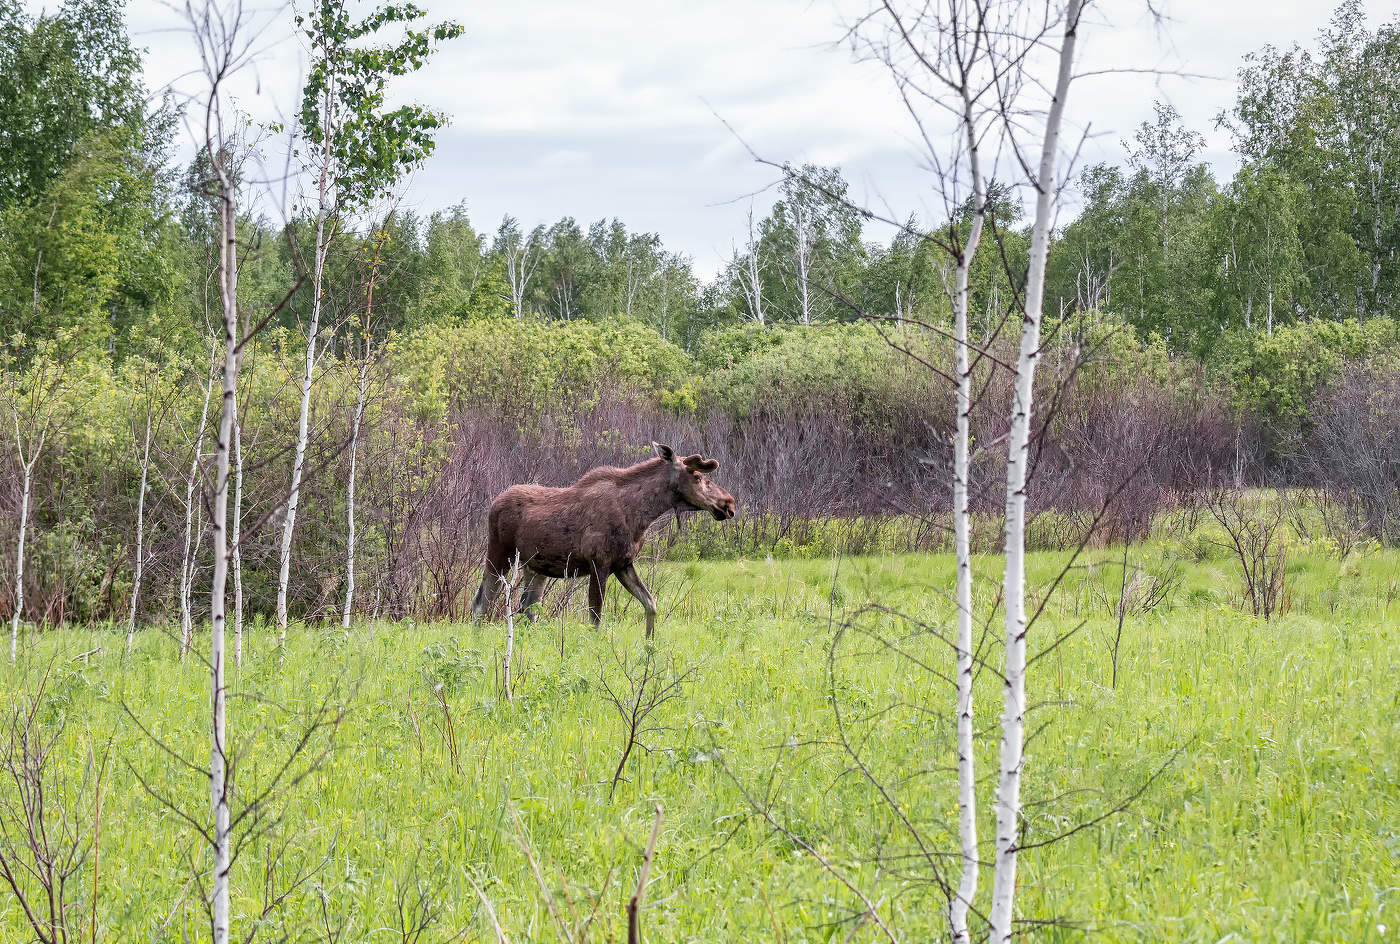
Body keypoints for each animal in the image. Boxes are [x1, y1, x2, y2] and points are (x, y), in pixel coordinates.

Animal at [470, 442, 739, 635]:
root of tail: (494, 503)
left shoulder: (624, 564)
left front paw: (650, 646)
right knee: (481, 602)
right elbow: (596, 619)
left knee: (528, 607)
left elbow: (650, 604)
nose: (729, 503)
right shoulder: (599, 564)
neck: (640, 514)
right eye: (697, 477)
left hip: (536, 567)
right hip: (499, 554)